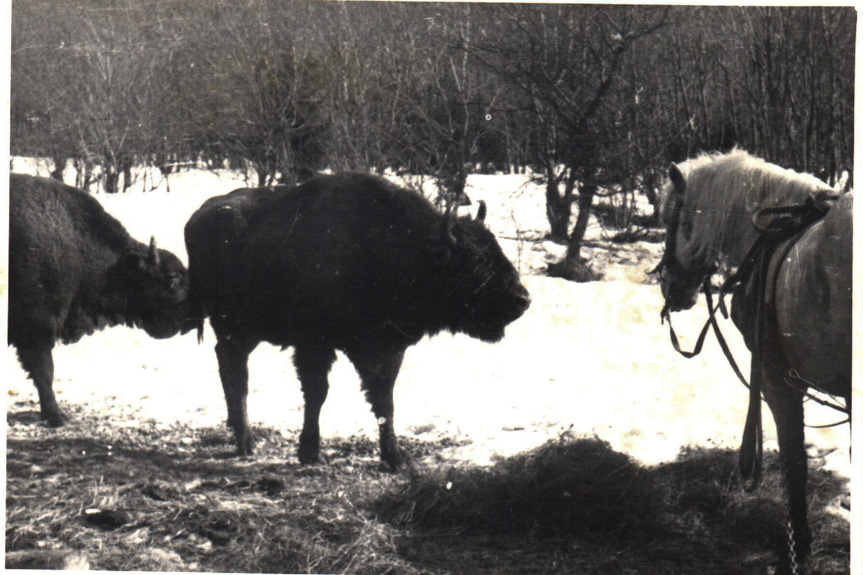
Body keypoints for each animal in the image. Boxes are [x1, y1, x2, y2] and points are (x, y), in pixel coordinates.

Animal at [186, 171, 528, 468]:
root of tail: (198, 217)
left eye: (496, 247)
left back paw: (236, 429)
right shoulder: (314, 345)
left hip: (246, 331)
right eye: (476, 258)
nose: (523, 299)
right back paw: (245, 441)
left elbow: (384, 401)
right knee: (236, 374)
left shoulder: (387, 349)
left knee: (228, 365)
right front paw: (309, 452)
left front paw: (394, 458)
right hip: (232, 326)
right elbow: (317, 394)